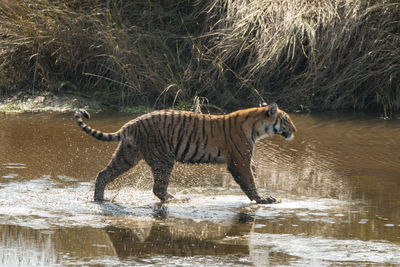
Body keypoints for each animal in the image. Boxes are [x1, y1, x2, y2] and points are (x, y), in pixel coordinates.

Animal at [74, 103, 296, 205]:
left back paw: (99, 199)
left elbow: (253, 173)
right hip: (163, 159)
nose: (294, 130)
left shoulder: (244, 159)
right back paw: (177, 199)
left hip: (127, 156)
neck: (257, 127)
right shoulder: (238, 161)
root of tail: (131, 124)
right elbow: (249, 181)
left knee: (103, 174)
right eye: (286, 120)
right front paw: (262, 199)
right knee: (158, 188)